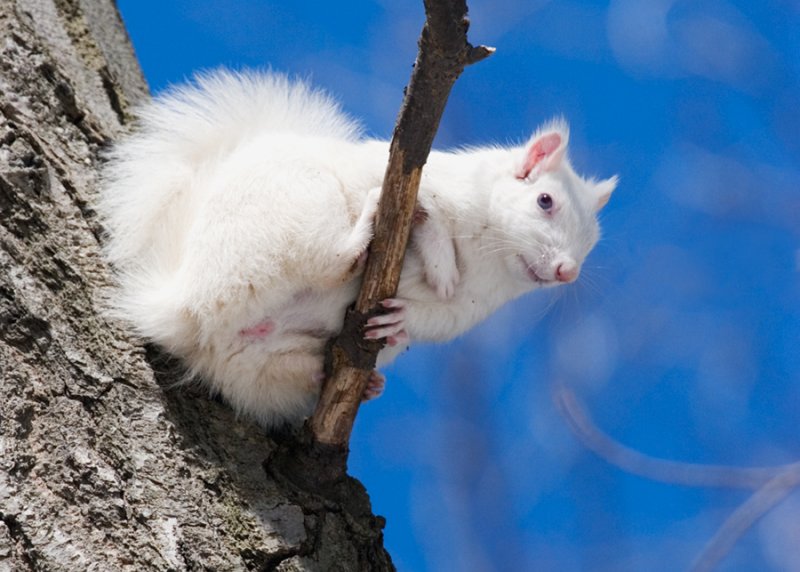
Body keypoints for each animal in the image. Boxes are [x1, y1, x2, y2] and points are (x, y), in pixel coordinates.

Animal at [97, 69, 616, 426]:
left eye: (592, 243)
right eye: (545, 201)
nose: (568, 271)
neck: (488, 260)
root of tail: (188, 309)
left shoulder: (466, 313)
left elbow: (435, 318)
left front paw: (404, 319)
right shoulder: (405, 182)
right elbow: (430, 216)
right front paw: (442, 264)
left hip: (255, 369)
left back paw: (360, 381)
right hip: (295, 215)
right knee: (326, 262)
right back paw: (359, 236)